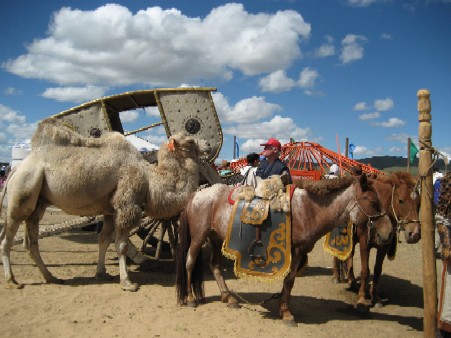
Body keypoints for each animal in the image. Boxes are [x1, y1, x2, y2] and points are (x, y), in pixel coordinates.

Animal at [0, 118, 207, 290]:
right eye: (190, 140)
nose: (207, 144)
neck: (150, 178)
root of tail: (16, 168)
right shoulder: (126, 205)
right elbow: (121, 245)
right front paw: (127, 282)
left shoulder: (110, 211)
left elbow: (103, 240)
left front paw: (102, 273)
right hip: (22, 191)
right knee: (7, 239)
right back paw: (13, 281)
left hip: (38, 203)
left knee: (32, 241)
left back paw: (51, 277)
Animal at [175, 174, 394, 324]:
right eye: (373, 201)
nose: (388, 233)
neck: (309, 210)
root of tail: (196, 193)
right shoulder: (296, 252)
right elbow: (289, 281)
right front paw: (287, 313)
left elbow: (288, 281)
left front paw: (281, 306)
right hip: (198, 237)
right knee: (190, 261)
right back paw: (191, 298)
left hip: (215, 238)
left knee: (215, 266)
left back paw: (228, 297)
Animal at [332, 172, 424, 312]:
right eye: (401, 200)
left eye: (419, 203)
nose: (415, 234)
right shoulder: (364, 243)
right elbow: (365, 271)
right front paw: (361, 298)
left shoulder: (384, 246)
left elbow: (377, 271)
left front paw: (375, 298)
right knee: (336, 255)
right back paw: (337, 277)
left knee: (350, 257)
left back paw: (352, 281)